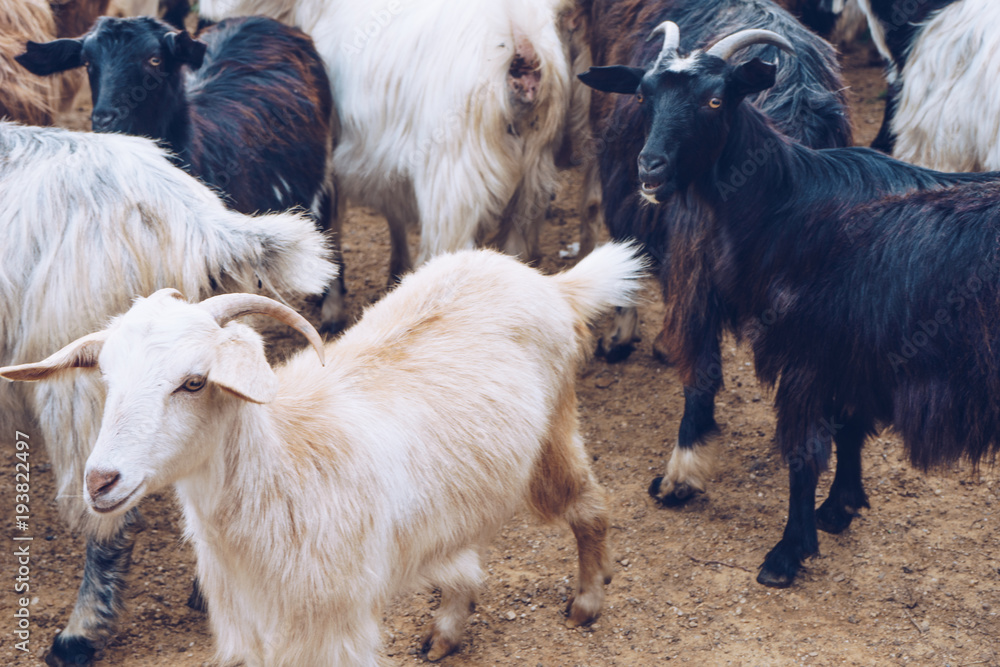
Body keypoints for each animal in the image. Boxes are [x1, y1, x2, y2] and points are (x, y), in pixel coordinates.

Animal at [0, 242, 646, 666]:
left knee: (590, 507)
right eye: (107, 378)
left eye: (194, 382)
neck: (285, 466)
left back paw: (589, 599)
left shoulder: (334, 628)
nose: (100, 480)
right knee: (461, 558)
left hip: (555, 436)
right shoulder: (248, 632)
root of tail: (549, 283)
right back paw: (445, 632)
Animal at [198, 0, 577, 278]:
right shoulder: (389, 156)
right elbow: (394, 214)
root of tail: (522, 46)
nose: (203, 18)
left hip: (453, 185)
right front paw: (396, 270)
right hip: (532, 185)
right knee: (517, 253)